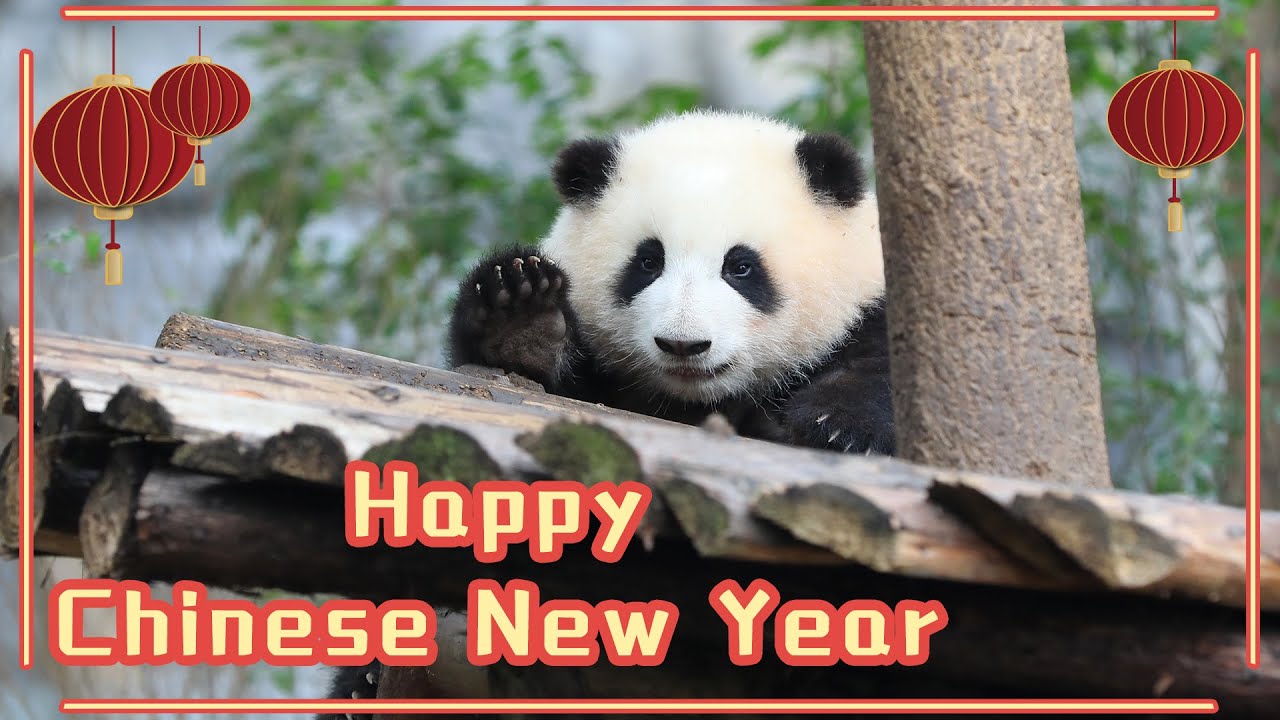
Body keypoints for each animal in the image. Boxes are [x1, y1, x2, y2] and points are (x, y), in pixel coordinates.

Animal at [318, 109, 894, 718]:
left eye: (740, 266)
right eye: (648, 261)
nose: (684, 345)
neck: (694, 402)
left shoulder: (872, 318)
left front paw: (835, 425)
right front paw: (521, 316)